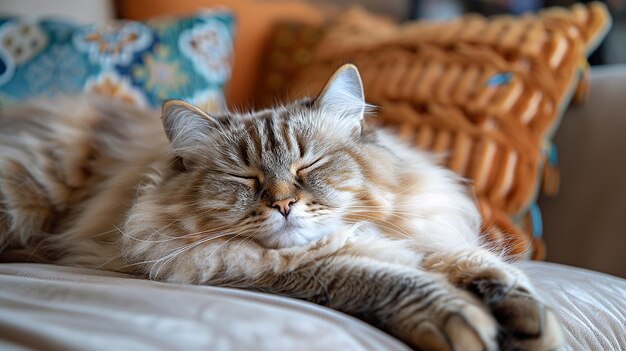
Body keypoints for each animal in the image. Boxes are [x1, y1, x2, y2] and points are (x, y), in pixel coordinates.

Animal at [0, 64, 560, 350]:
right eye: (244, 178)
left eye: (308, 165)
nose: (285, 203)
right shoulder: (249, 269)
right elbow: (391, 279)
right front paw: (465, 320)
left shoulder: (418, 231)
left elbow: (468, 262)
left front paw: (524, 317)